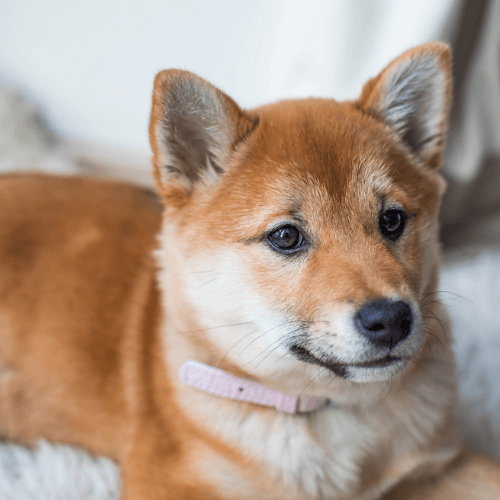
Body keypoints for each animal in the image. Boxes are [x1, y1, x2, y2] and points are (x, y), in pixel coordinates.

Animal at [0, 44, 500, 500]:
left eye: (392, 220)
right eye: (286, 237)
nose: (391, 319)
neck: (325, 411)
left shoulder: (440, 464)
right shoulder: (168, 479)